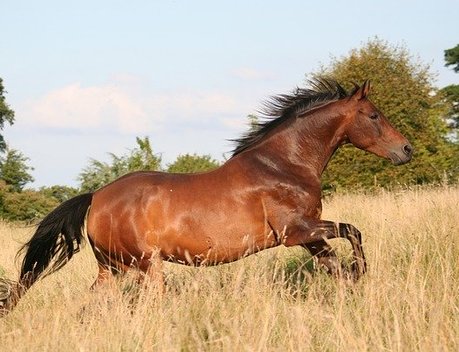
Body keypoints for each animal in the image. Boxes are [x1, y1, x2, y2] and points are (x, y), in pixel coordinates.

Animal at [0, 79, 416, 314]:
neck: (284, 164)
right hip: (146, 266)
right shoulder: (296, 231)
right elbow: (353, 231)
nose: (407, 150)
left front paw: (354, 286)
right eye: (374, 115)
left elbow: (337, 266)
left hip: (112, 269)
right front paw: (362, 273)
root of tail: (97, 198)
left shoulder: (309, 236)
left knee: (91, 306)